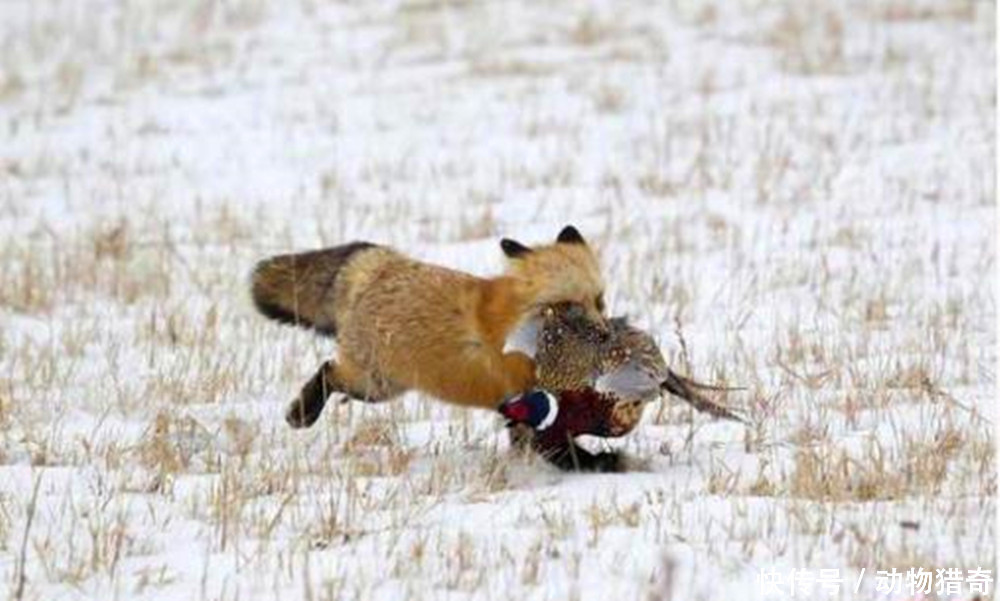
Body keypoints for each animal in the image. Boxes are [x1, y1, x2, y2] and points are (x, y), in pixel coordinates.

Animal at [254, 225, 604, 426]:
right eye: (568, 306)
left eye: (599, 301)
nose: (604, 334)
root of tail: (384, 264)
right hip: (373, 382)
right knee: (328, 370)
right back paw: (302, 413)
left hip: (381, 387)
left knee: (331, 372)